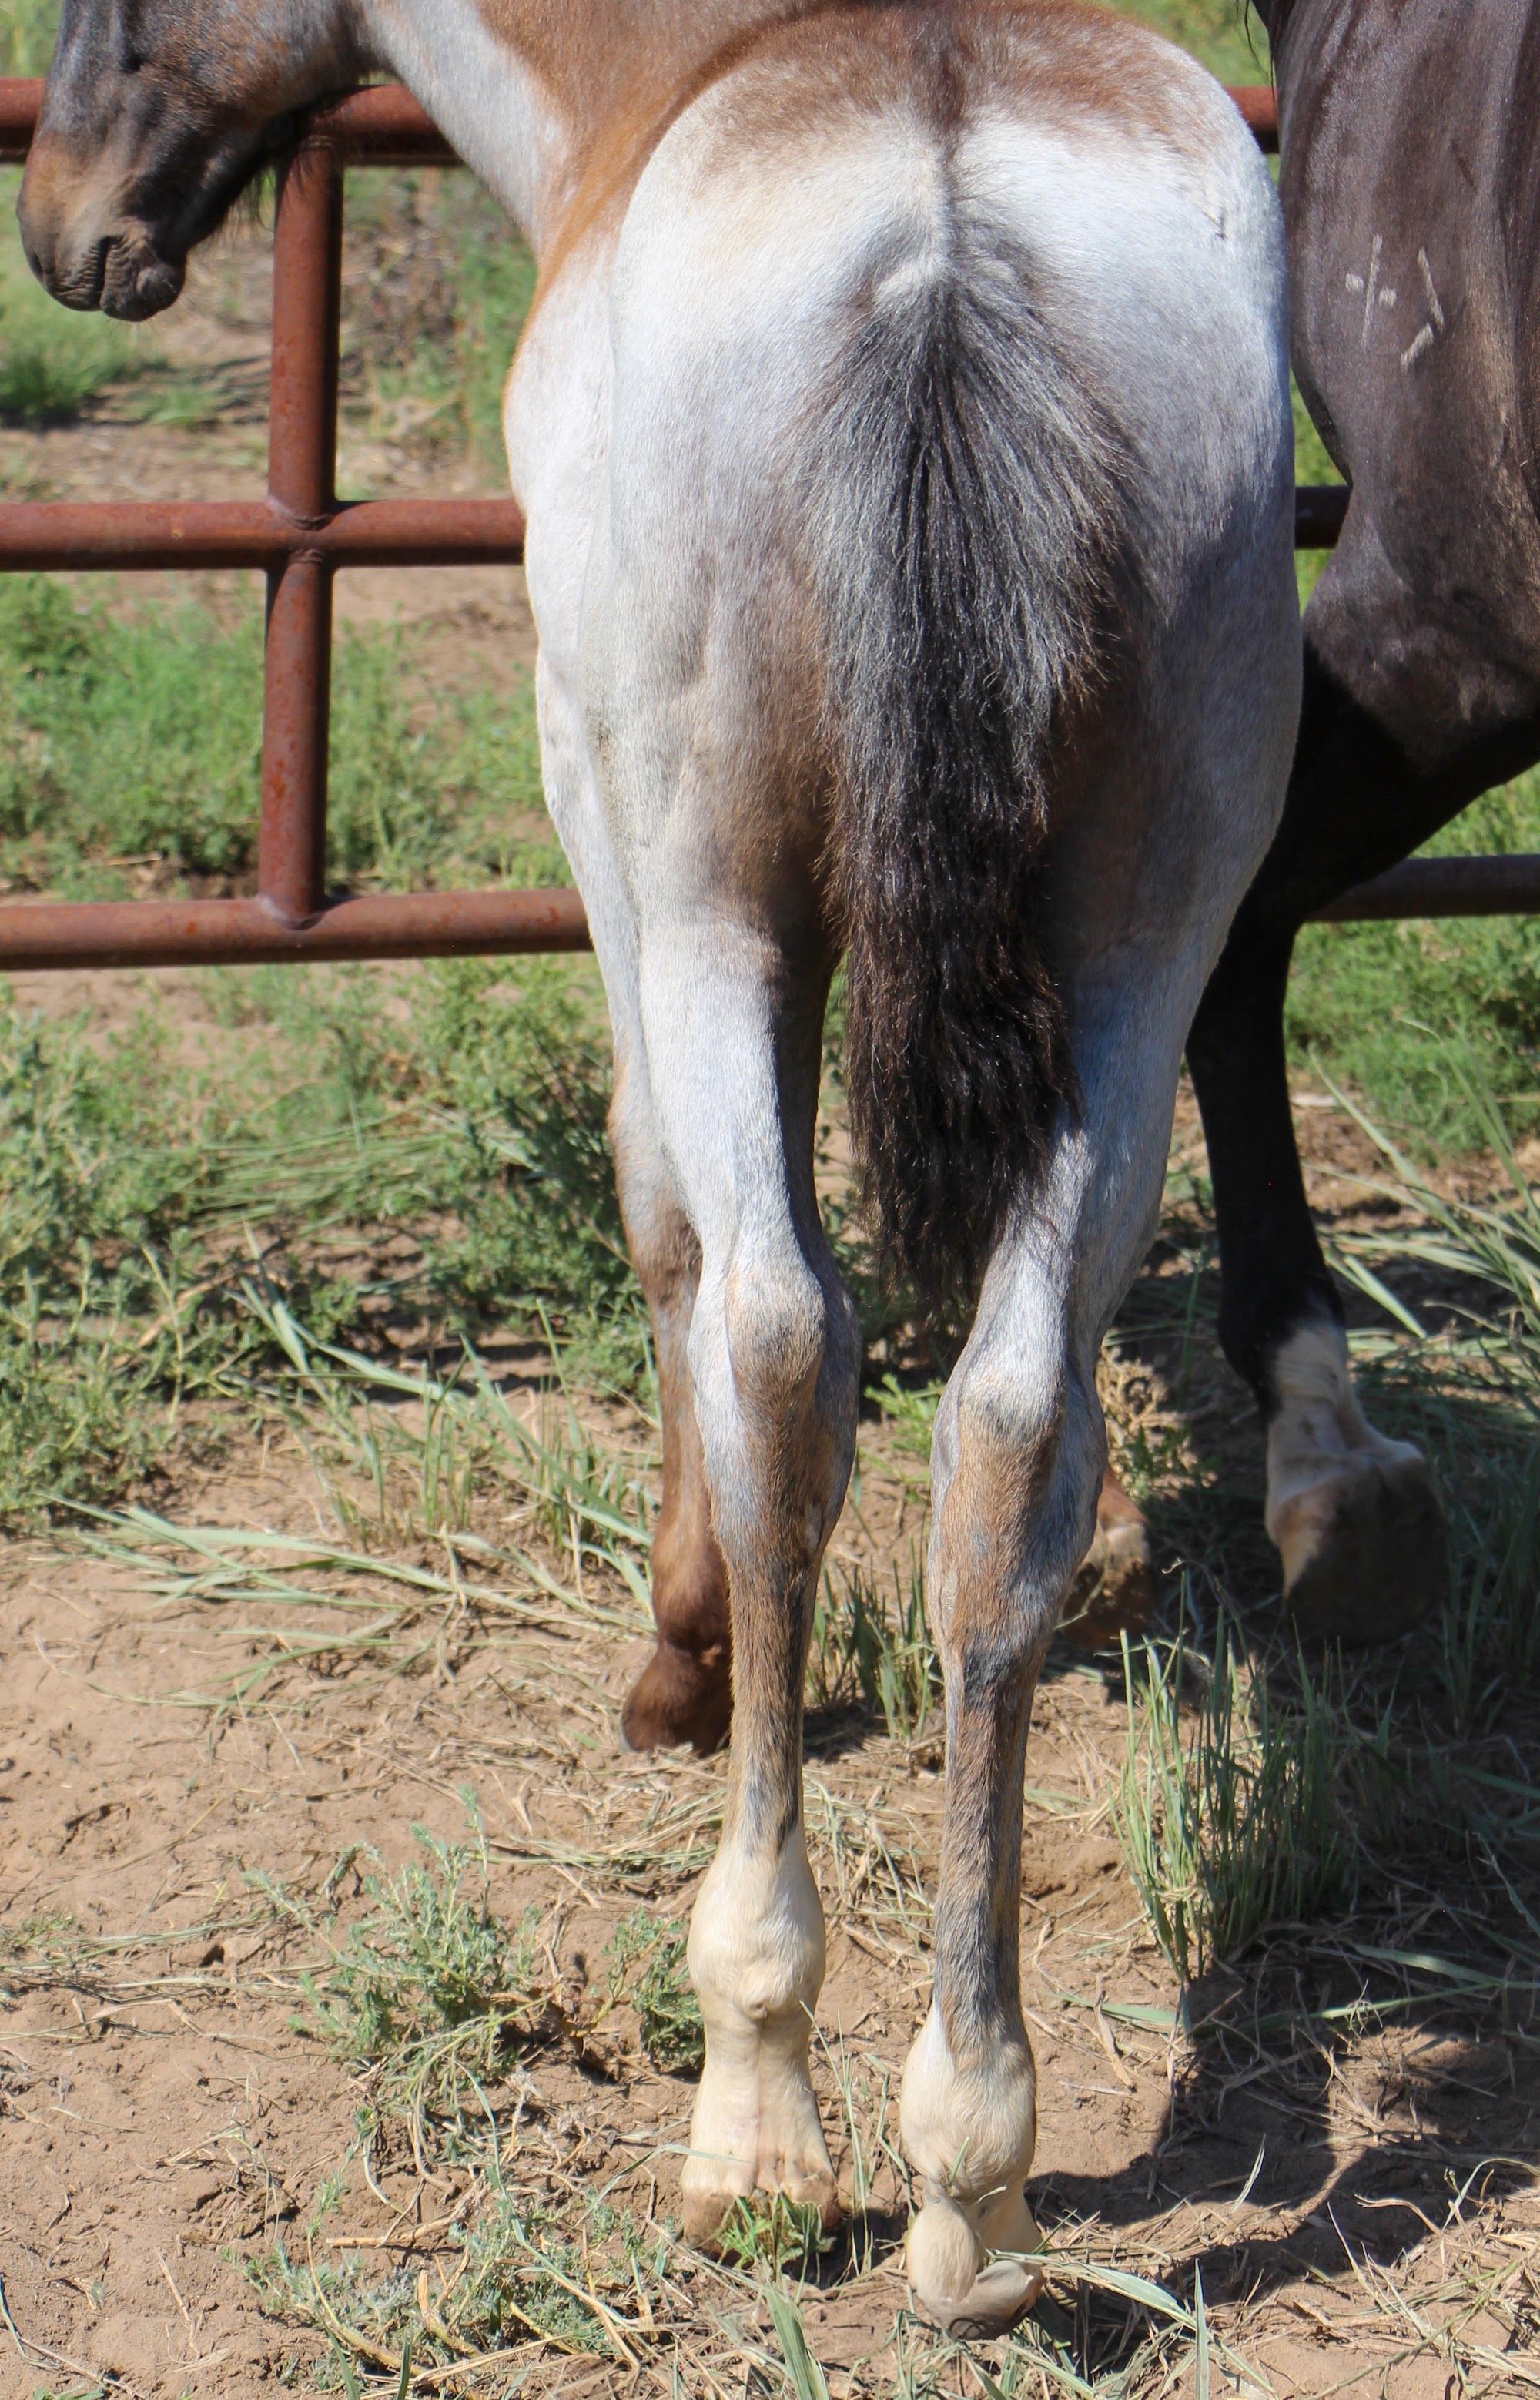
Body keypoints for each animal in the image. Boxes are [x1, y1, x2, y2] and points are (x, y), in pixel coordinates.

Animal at [18, 0, 1297, 2331]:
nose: (72, 233)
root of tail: (948, 224)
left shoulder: (615, 854)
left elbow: (681, 1248)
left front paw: (681, 1657)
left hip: (711, 900)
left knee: (786, 1347)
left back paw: (759, 2112)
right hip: (1139, 942)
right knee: (1003, 1422)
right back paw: (971, 2177)